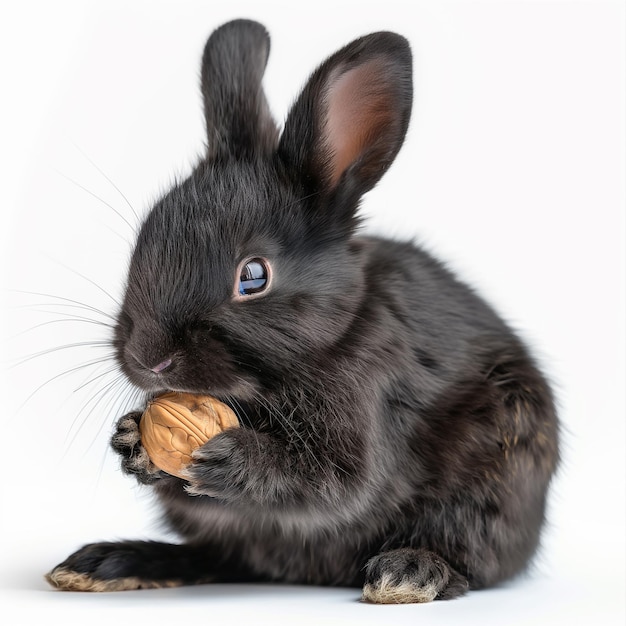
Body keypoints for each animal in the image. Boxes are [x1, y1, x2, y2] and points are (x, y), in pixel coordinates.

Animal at [46, 22, 560, 604]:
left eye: (253, 276)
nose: (148, 360)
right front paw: (133, 439)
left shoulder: (366, 414)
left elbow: (332, 487)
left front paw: (231, 458)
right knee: (218, 557)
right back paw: (109, 562)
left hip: (496, 478)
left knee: (465, 560)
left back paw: (409, 572)